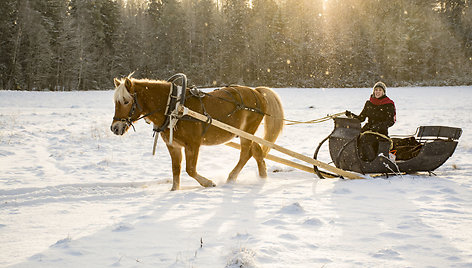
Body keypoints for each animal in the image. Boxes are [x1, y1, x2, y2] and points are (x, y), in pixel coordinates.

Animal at [110, 75, 284, 191]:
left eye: (126, 101)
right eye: (115, 102)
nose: (115, 128)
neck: (174, 107)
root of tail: (257, 92)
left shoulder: (193, 144)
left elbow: (190, 169)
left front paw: (208, 183)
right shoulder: (173, 146)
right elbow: (176, 170)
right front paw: (174, 190)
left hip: (246, 131)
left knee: (246, 153)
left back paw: (231, 177)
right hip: (245, 133)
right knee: (257, 151)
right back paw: (262, 178)